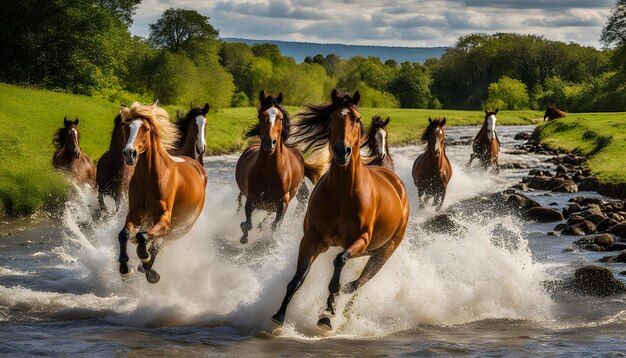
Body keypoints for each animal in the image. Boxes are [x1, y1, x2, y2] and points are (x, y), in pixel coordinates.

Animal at [114, 102, 207, 284]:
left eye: (146, 128)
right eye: (127, 127)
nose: (129, 153)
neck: (150, 177)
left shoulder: (164, 219)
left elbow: (143, 238)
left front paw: (145, 261)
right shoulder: (135, 213)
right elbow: (124, 234)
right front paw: (125, 267)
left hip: (182, 227)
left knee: (161, 242)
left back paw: (149, 269)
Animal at [233, 91, 324, 245]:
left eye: (280, 118)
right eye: (260, 115)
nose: (269, 142)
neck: (269, 171)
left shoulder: (282, 202)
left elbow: (275, 225)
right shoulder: (251, 198)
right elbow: (247, 223)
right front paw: (244, 237)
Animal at [270, 89, 408, 332]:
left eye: (357, 118)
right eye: (332, 118)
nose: (342, 151)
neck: (343, 193)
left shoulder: (360, 239)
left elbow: (339, 262)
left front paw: (328, 312)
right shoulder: (313, 237)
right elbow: (299, 277)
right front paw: (279, 314)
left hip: (383, 252)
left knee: (358, 284)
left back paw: (338, 313)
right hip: (368, 251)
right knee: (354, 283)